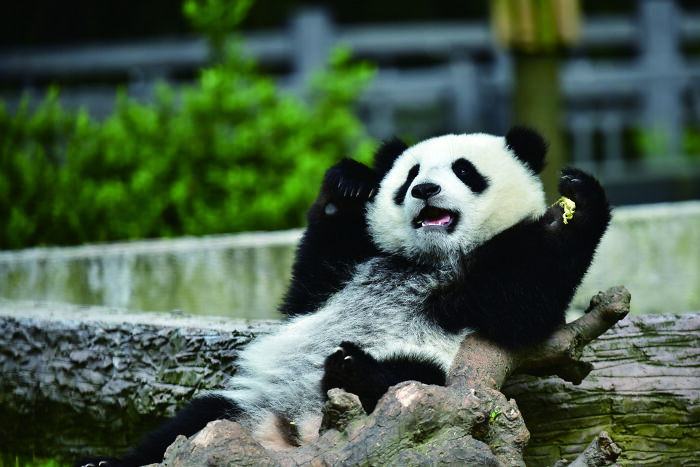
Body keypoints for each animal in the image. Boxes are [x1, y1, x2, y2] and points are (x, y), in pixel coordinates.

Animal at [78, 126, 611, 466]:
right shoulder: (345, 271)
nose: (425, 189)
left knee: (410, 381)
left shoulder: (484, 296)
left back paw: (354, 370)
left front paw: (578, 205)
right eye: (409, 175)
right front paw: (350, 183)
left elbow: (525, 302)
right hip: (242, 414)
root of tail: (298, 437)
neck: (429, 260)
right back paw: (100, 464)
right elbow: (309, 284)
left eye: (464, 170)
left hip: (431, 374)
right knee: (187, 426)